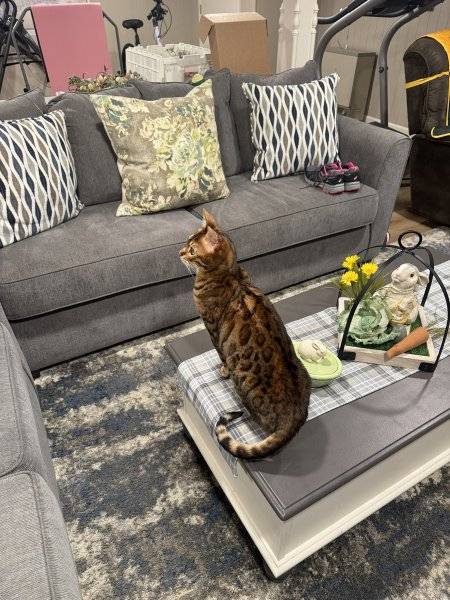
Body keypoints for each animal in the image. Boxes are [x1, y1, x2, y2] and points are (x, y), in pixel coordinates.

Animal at [179, 209, 311, 459]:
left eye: (192, 250)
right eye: (186, 241)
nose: (179, 252)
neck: (230, 274)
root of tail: (294, 418)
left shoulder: (212, 328)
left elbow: (220, 353)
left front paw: (222, 370)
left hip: (242, 381)